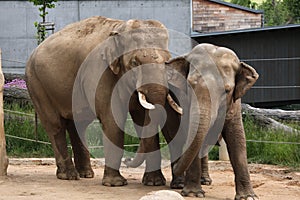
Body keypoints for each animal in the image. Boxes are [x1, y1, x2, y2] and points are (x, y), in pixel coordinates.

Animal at [24, 16, 182, 187]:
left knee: (78, 125)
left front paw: (154, 183)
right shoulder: (100, 71)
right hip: (37, 84)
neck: (119, 28)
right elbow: (112, 118)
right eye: (134, 63)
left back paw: (85, 174)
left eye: (167, 62)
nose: (128, 160)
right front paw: (116, 184)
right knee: (55, 125)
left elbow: (142, 120)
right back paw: (69, 176)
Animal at [125, 43, 258, 199]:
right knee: (176, 138)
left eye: (227, 90)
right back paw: (179, 183)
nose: (126, 160)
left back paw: (204, 180)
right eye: (189, 85)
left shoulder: (235, 103)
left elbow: (237, 138)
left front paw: (248, 197)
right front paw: (193, 193)